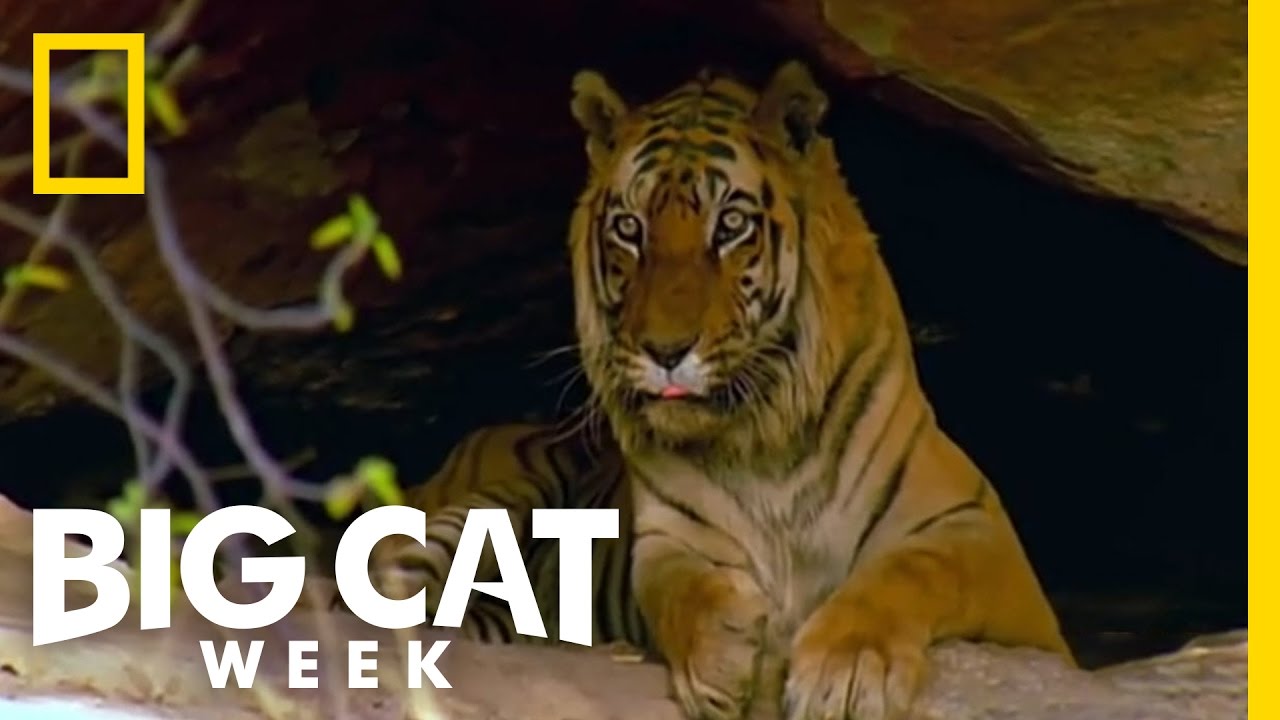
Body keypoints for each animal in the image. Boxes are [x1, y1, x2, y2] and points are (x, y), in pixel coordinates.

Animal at [364, 61, 1073, 720]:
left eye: (730, 225)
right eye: (630, 229)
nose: (665, 351)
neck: (765, 439)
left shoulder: (980, 536)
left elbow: (912, 569)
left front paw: (848, 671)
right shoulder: (669, 540)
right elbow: (681, 589)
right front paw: (727, 656)